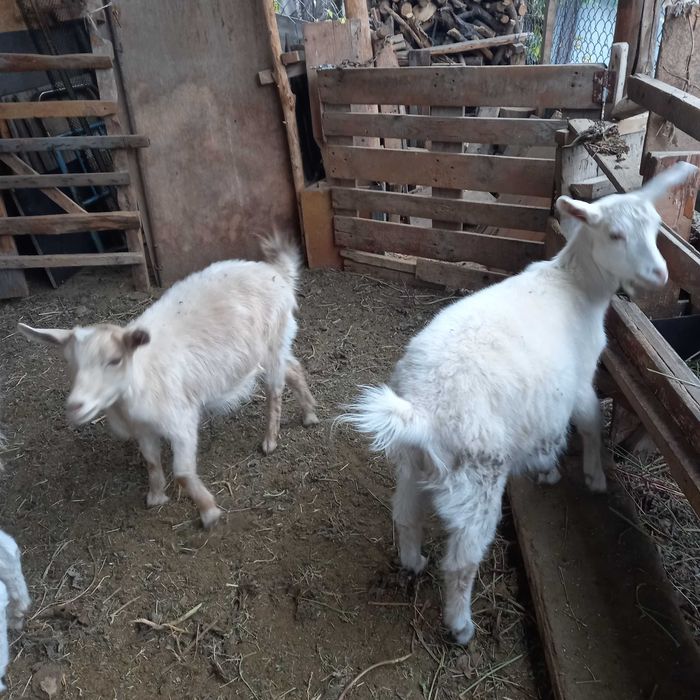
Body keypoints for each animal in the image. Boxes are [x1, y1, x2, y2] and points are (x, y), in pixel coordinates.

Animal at [18, 236, 318, 528]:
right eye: (70, 362)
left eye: (115, 360)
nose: (75, 406)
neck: (138, 379)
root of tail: (275, 272)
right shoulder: (144, 430)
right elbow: (151, 462)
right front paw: (156, 496)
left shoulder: (181, 421)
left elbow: (183, 473)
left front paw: (209, 512)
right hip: (274, 348)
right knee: (293, 369)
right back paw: (310, 414)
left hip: (273, 343)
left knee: (275, 389)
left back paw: (270, 440)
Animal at [342, 162, 698, 644]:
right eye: (614, 235)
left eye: (657, 228)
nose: (659, 274)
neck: (576, 285)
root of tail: (421, 411)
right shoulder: (579, 378)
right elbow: (588, 422)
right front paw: (593, 474)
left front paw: (548, 469)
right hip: (477, 478)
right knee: (460, 561)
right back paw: (460, 626)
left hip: (413, 464)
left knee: (406, 516)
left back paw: (413, 562)